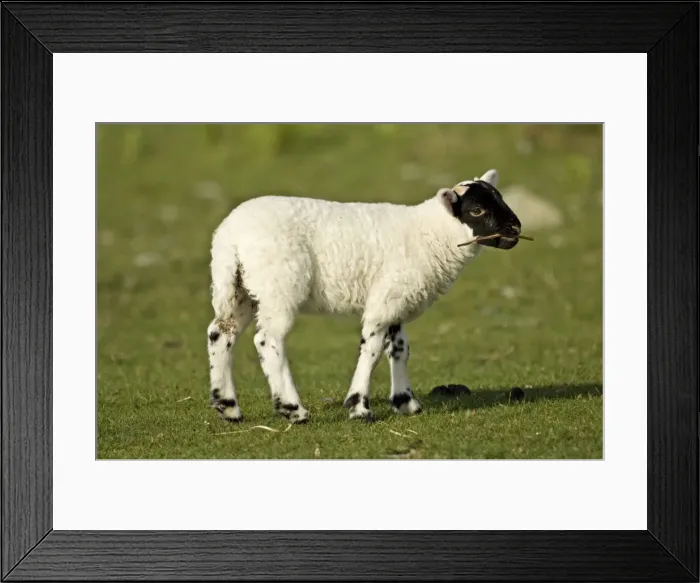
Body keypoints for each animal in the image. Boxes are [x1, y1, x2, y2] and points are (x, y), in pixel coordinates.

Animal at [206, 168, 523, 424]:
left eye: (500, 198)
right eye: (478, 210)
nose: (516, 228)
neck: (432, 235)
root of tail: (229, 237)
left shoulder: (395, 297)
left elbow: (399, 348)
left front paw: (405, 402)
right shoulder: (384, 303)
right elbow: (372, 350)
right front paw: (359, 407)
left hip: (240, 288)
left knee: (220, 333)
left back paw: (228, 407)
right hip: (279, 284)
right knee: (267, 340)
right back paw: (292, 409)